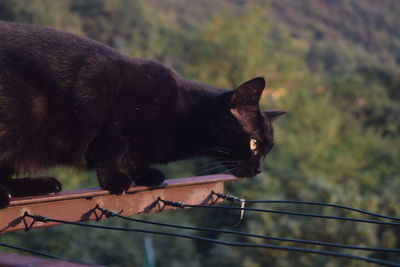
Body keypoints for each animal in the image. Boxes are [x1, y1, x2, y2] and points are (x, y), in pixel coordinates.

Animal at [0, 21, 284, 209]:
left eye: (268, 150)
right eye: (253, 143)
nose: (259, 169)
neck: (185, 115)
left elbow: (132, 157)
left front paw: (145, 174)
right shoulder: (115, 116)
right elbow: (109, 150)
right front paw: (115, 180)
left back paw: (41, 185)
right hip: (27, 110)